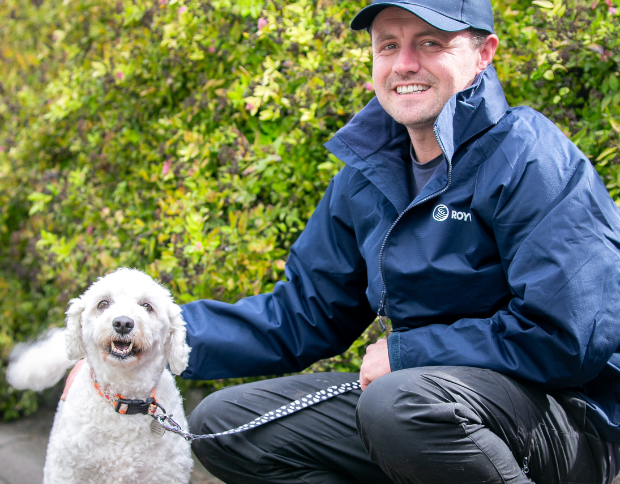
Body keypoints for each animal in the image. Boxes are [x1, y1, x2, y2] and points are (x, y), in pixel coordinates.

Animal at [6, 268, 193, 484]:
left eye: (147, 306)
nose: (122, 323)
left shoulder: (166, 474)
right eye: (103, 304)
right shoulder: (66, 471)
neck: (123, 401)